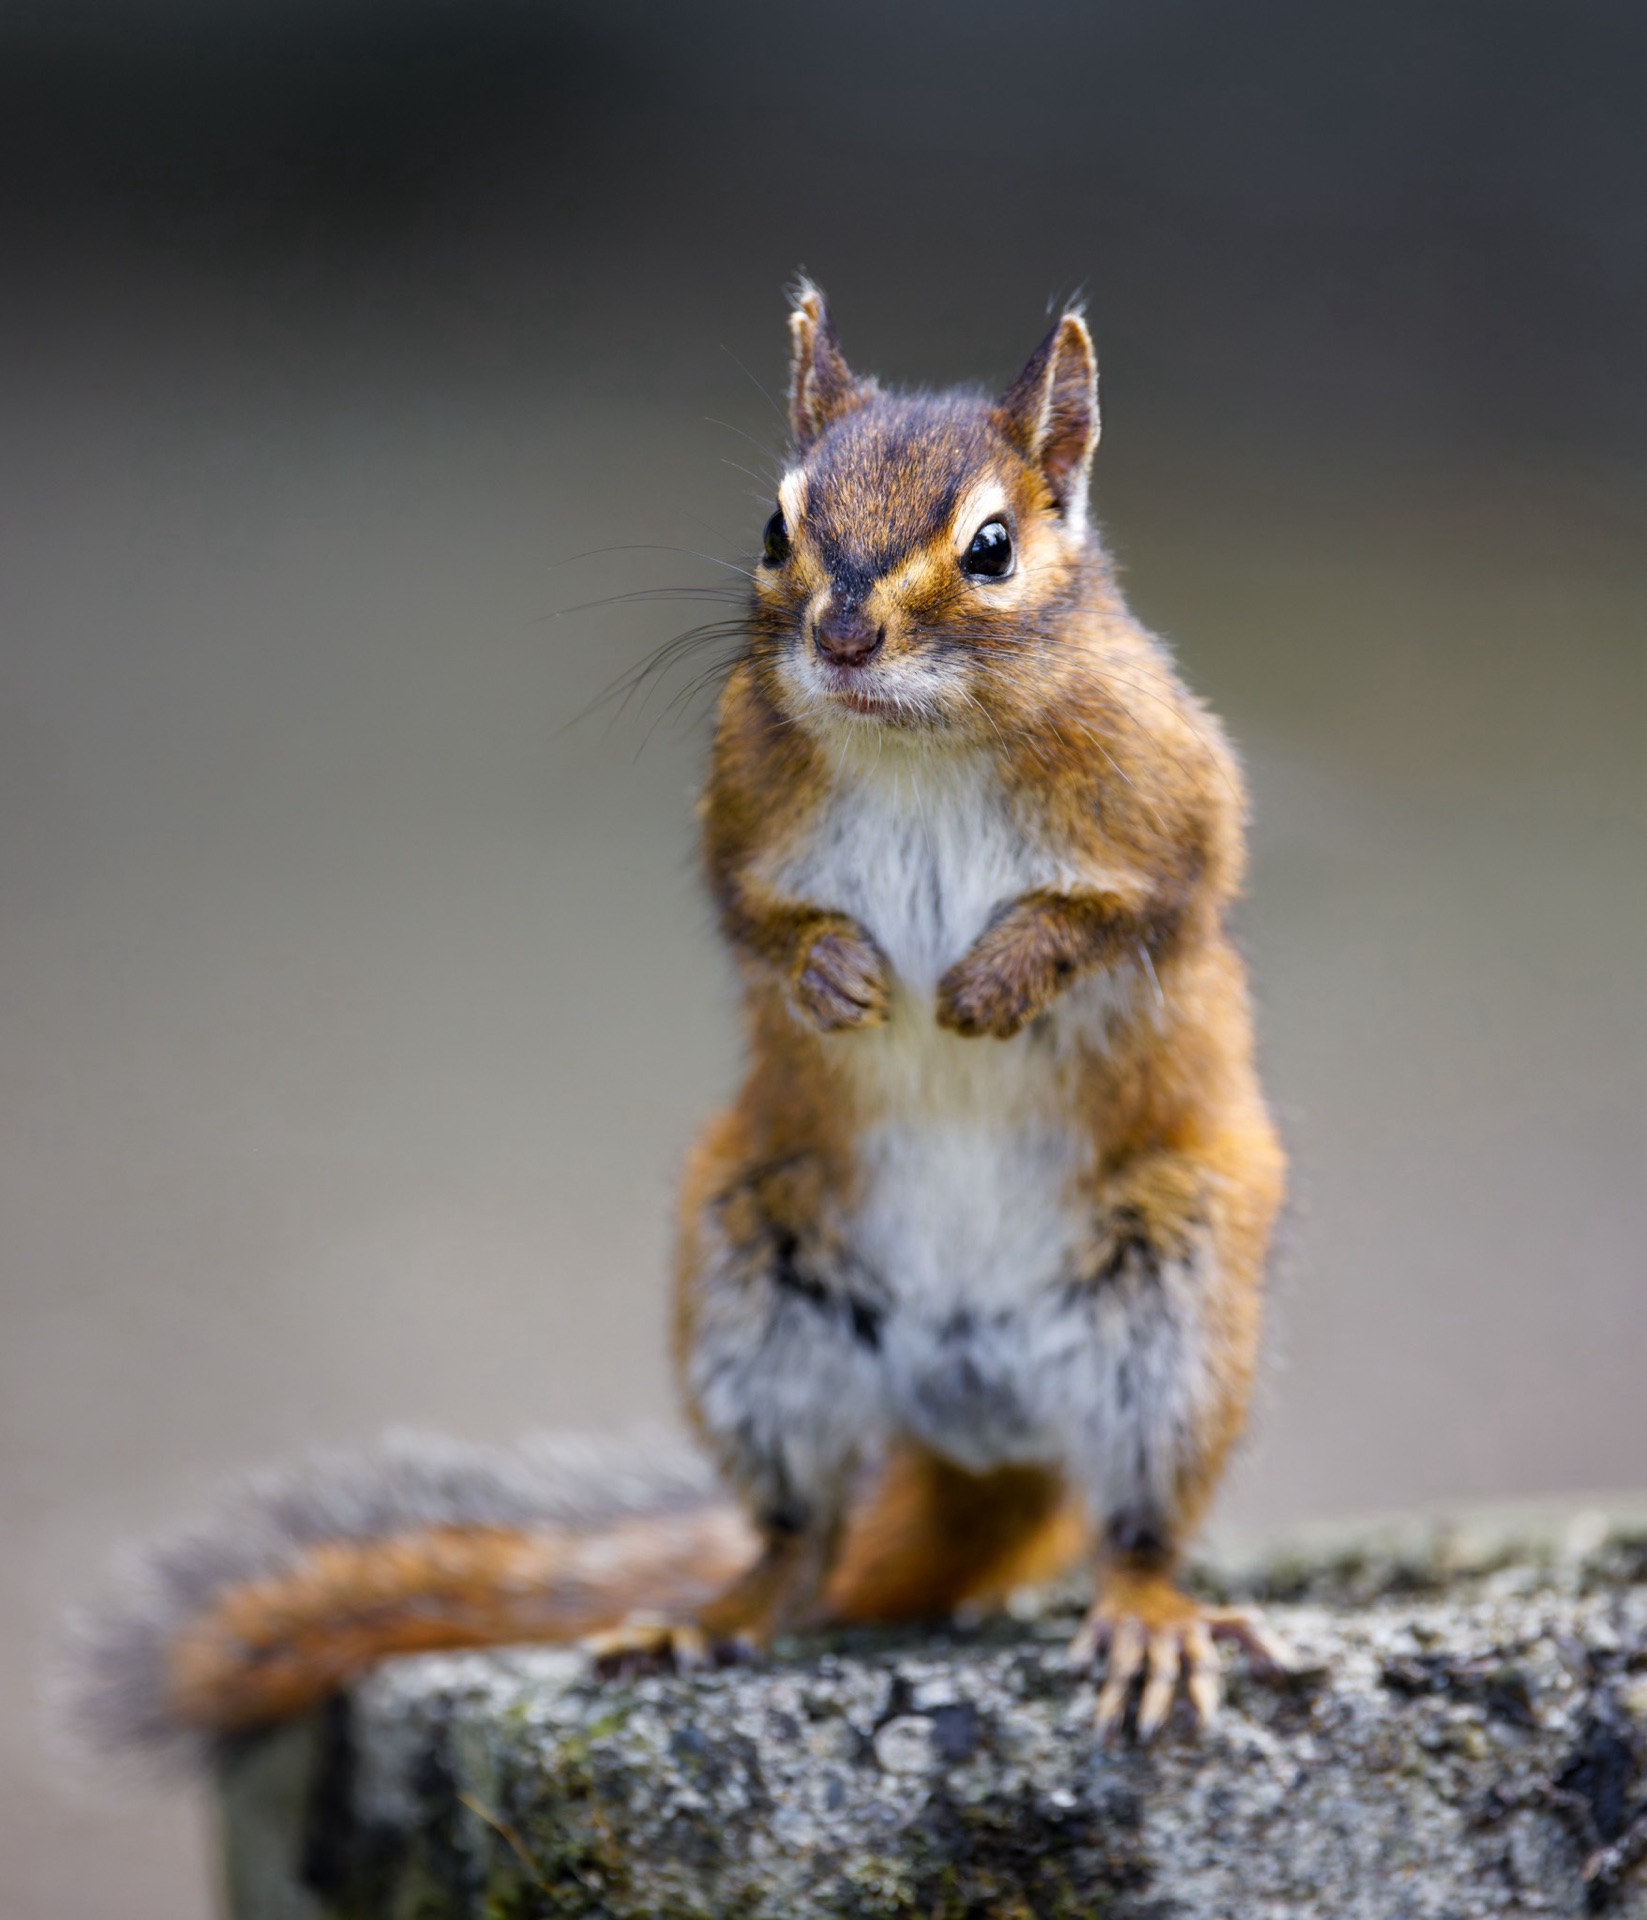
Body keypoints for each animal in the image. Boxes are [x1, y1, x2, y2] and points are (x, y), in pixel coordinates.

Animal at [64, 284, 1289, 1767]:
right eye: (775, 526)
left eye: (993, 547)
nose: (841, 639)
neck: (918, 746)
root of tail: (973, 1440)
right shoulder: (739, 815)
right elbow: (752, 916)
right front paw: (834, 977)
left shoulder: (1173, 803)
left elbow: (1133, 906)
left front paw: (994, 979)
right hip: (752, 1290)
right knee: (797, 1535)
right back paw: (710, 1617)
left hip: (1168, 1316)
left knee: (1136, 1524)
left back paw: (1147, 1616)